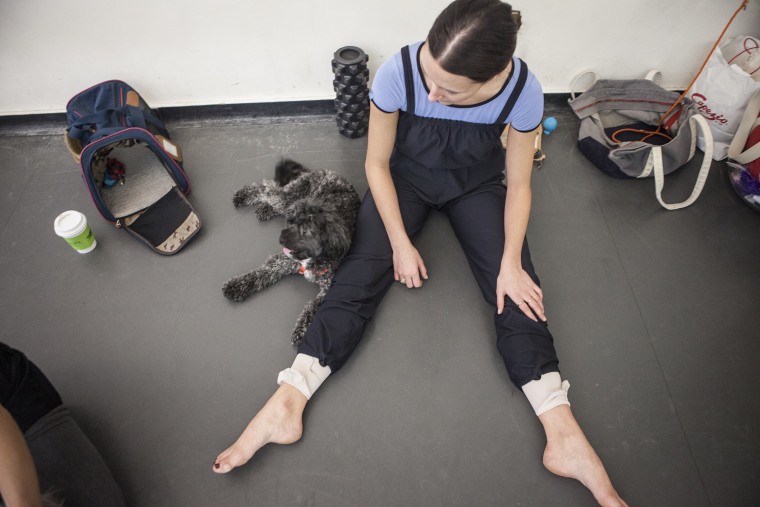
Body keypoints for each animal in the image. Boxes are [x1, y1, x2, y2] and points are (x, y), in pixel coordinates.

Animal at [223, 159, 362, 346]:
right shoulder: (283, 261)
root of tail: (322, 171)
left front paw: (302, 329)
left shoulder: (329, 288)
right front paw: (237, 286)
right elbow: (261, 273)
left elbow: (314, 307)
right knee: (267, 187)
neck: (311, 258)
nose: (280, 239)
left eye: (305, 230)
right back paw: (243, 195)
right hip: (290, 196)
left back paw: (264, 209)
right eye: (291, 222)